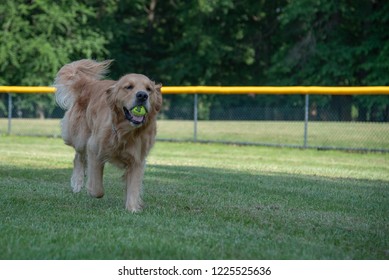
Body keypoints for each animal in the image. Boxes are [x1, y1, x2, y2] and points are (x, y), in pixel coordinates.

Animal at [53, 59, 161, 212]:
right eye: (128, 87)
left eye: (149, 89)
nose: (142, 95)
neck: (125, 132)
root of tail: (89, 83)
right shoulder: (94, 148)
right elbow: (97, 189)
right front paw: (91, 188)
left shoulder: (137, 159)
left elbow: (133, 187)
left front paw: (132, 208)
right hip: (80, 137)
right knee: (78, 157)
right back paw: (77, 181)